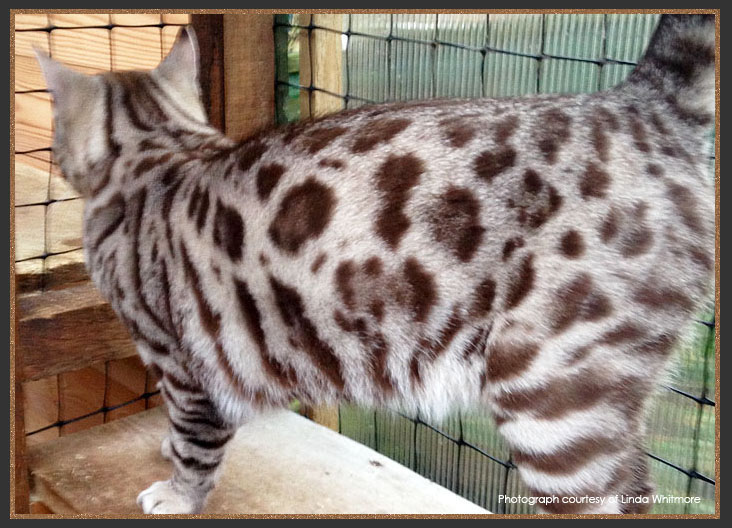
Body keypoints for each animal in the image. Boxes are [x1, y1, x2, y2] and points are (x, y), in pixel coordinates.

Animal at [35, 13, 716, 516]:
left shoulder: (181, 362)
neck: (160, 155)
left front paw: (178, 493)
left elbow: (195, 442)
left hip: (551, 398)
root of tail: (641, 103)